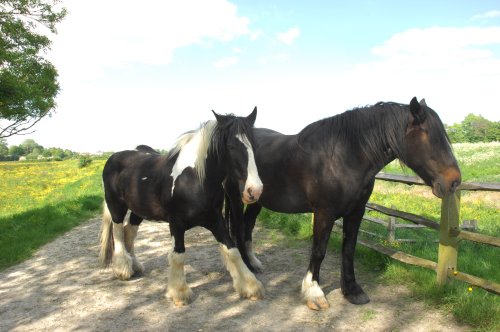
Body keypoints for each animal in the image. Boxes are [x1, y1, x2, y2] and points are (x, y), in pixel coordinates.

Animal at [98, 109, 266, 306]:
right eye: (231, 146)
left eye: (254, 145)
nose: (254, 190)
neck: (193, 179)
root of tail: (114, 157)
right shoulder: (176, 223)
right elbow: (178, 255)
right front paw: (179, 293)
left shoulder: (215, 220)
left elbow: (232, 251)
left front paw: (250, 287)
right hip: (116, 206)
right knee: (117, 233)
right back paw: (123, 269)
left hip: (139, 210)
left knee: (129, 231)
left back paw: (136, 266)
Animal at [226, 98, 460, 312]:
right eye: (429, 136)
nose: (454, 181)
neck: (344, 156)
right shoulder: (324, 213)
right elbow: (319, 250)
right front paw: (314, 292)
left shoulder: (356, 212)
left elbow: (349, 249)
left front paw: (352, 290)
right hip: (236, 199)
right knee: (238, 229)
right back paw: (247, 272)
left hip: (256, 200)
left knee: (247, 227)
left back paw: (253, 264)